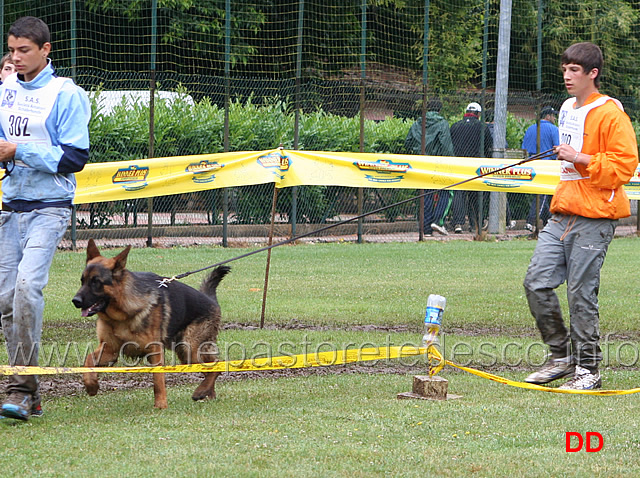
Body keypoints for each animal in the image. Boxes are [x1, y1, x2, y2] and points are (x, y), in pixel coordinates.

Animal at [72, 239, 230, 408]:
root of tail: (211, 300)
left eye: (96, 282)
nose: (75, 301)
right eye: (82, 281)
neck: (122, 313)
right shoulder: (110, 349)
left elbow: (158, 379)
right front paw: (91, 385)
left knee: (217, 367)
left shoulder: (155, 350)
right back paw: (208, 393)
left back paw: (201, 391)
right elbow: (88, 360)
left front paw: (161, 405)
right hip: (185, 352)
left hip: (189, 348)